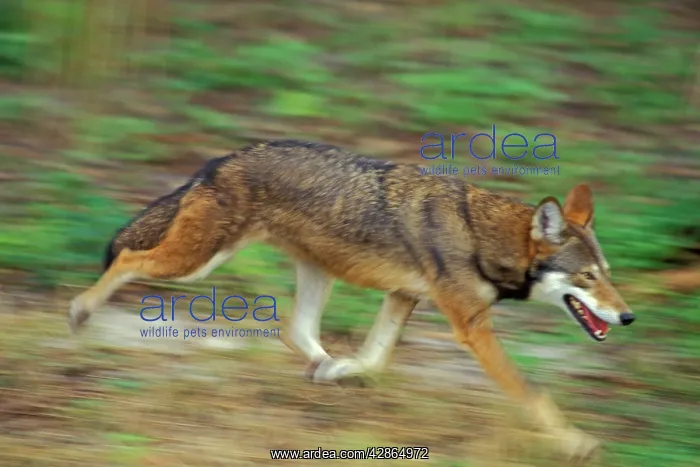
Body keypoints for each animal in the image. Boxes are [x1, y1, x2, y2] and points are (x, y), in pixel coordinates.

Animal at [69, 140, 635, 463]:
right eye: (586, 278)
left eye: (607, 275)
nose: (628, 316)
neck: (481, 236)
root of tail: (222, 159)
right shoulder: (470, 325)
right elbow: (533, 393)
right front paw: (576, 444)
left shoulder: (402, 297)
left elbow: (376, 358)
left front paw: (347, 372)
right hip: (195, 263)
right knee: (127, 259)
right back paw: (80, 312)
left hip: (312, 274)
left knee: (295, 332)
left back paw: (326, 369)